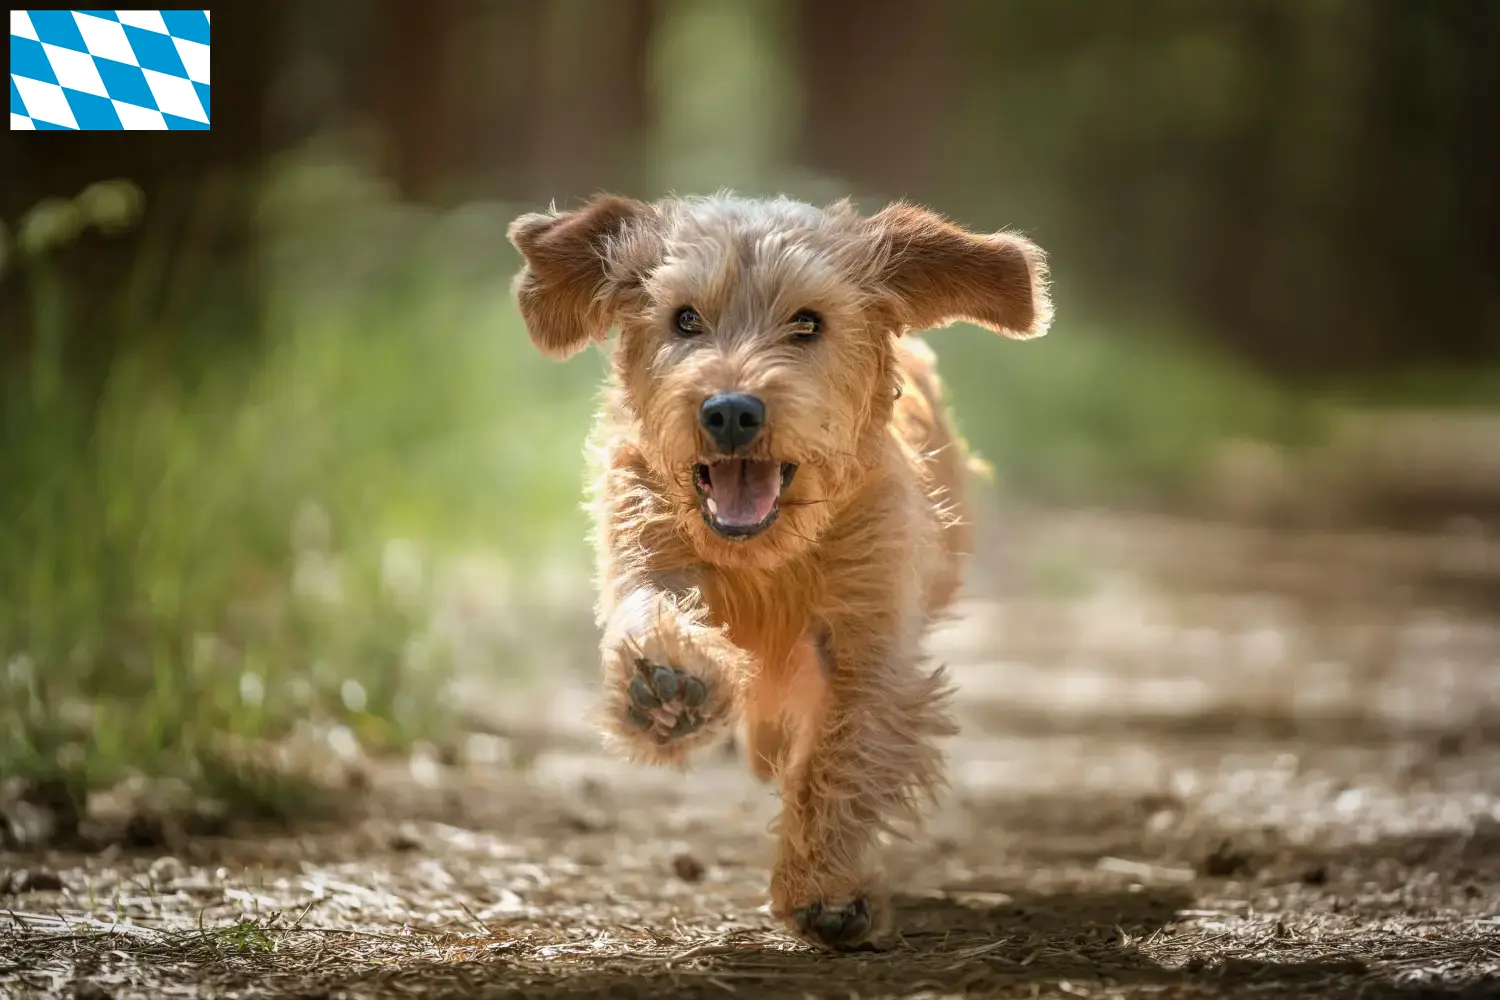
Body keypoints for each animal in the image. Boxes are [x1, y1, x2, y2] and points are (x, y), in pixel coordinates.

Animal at [510, 193, 1050, 947]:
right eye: (685, 318)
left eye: (808, 322)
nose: (731, 410)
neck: (767, 556)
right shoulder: (644, 539)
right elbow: (650, 606)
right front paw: (665, 684)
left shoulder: (869, 637)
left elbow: (843, 751)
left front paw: (822, 890)